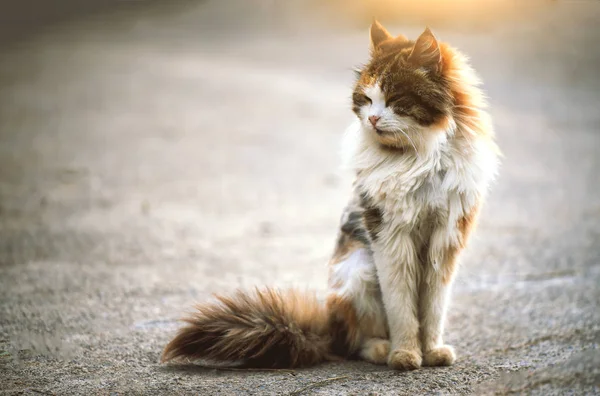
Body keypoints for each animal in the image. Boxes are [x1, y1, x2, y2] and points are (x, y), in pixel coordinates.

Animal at [162, 22, 500, 372]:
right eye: (367, 99)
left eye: (394, 99)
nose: (373, 119)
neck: (419, 157)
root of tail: (325, 329)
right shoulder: (391, 238)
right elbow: (402, 309)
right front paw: (405, 354)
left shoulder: (445, 240)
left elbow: (433, 309)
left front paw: (432, 352)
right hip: (359, 272)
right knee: (352, 343)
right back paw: (382, 350)